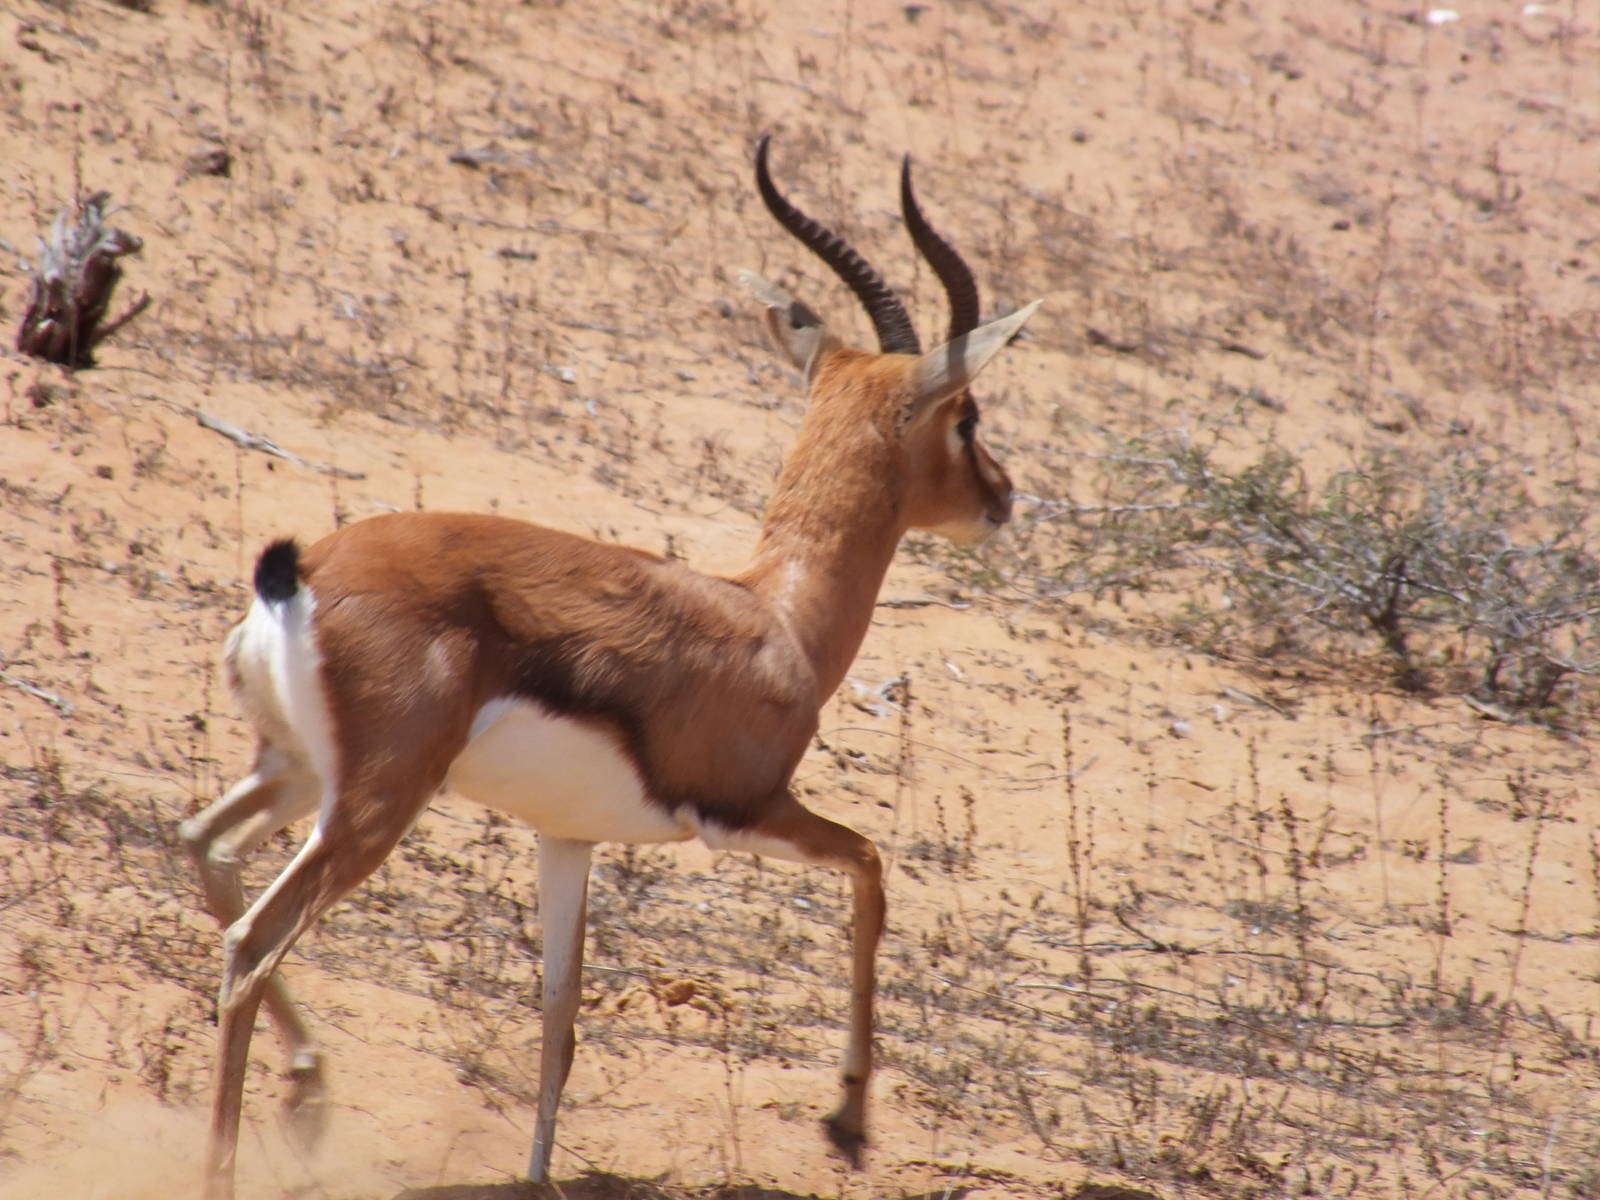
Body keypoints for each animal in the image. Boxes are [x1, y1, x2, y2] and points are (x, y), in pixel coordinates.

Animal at [181, 133, 1040, 1199]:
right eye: (967, 415)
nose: (1003, 497)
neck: (776, 618)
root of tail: (300, 575)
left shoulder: (568, 837)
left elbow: (561, 1008)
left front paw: (541, 1176)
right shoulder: (745, 814)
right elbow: (874, 868)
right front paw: (847, 1125)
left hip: (298, 774)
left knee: (204, 845)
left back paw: (308, 1089)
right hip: (375, 807)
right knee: (252, 944)